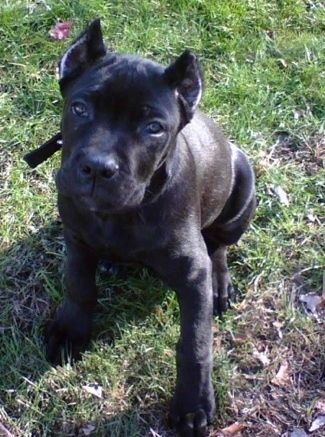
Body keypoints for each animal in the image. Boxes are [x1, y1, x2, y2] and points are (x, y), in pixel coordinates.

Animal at [44, 18, 254, 434]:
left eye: (154, 127)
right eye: (79, 108)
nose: (97, 168)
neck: (123, 214)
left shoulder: (191, 274)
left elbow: (194, 343)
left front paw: (192, 404)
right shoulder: (75, 238)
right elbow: (79, 287)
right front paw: (71, 331)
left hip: (242, 187)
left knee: (219, 245)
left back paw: (220, 284)